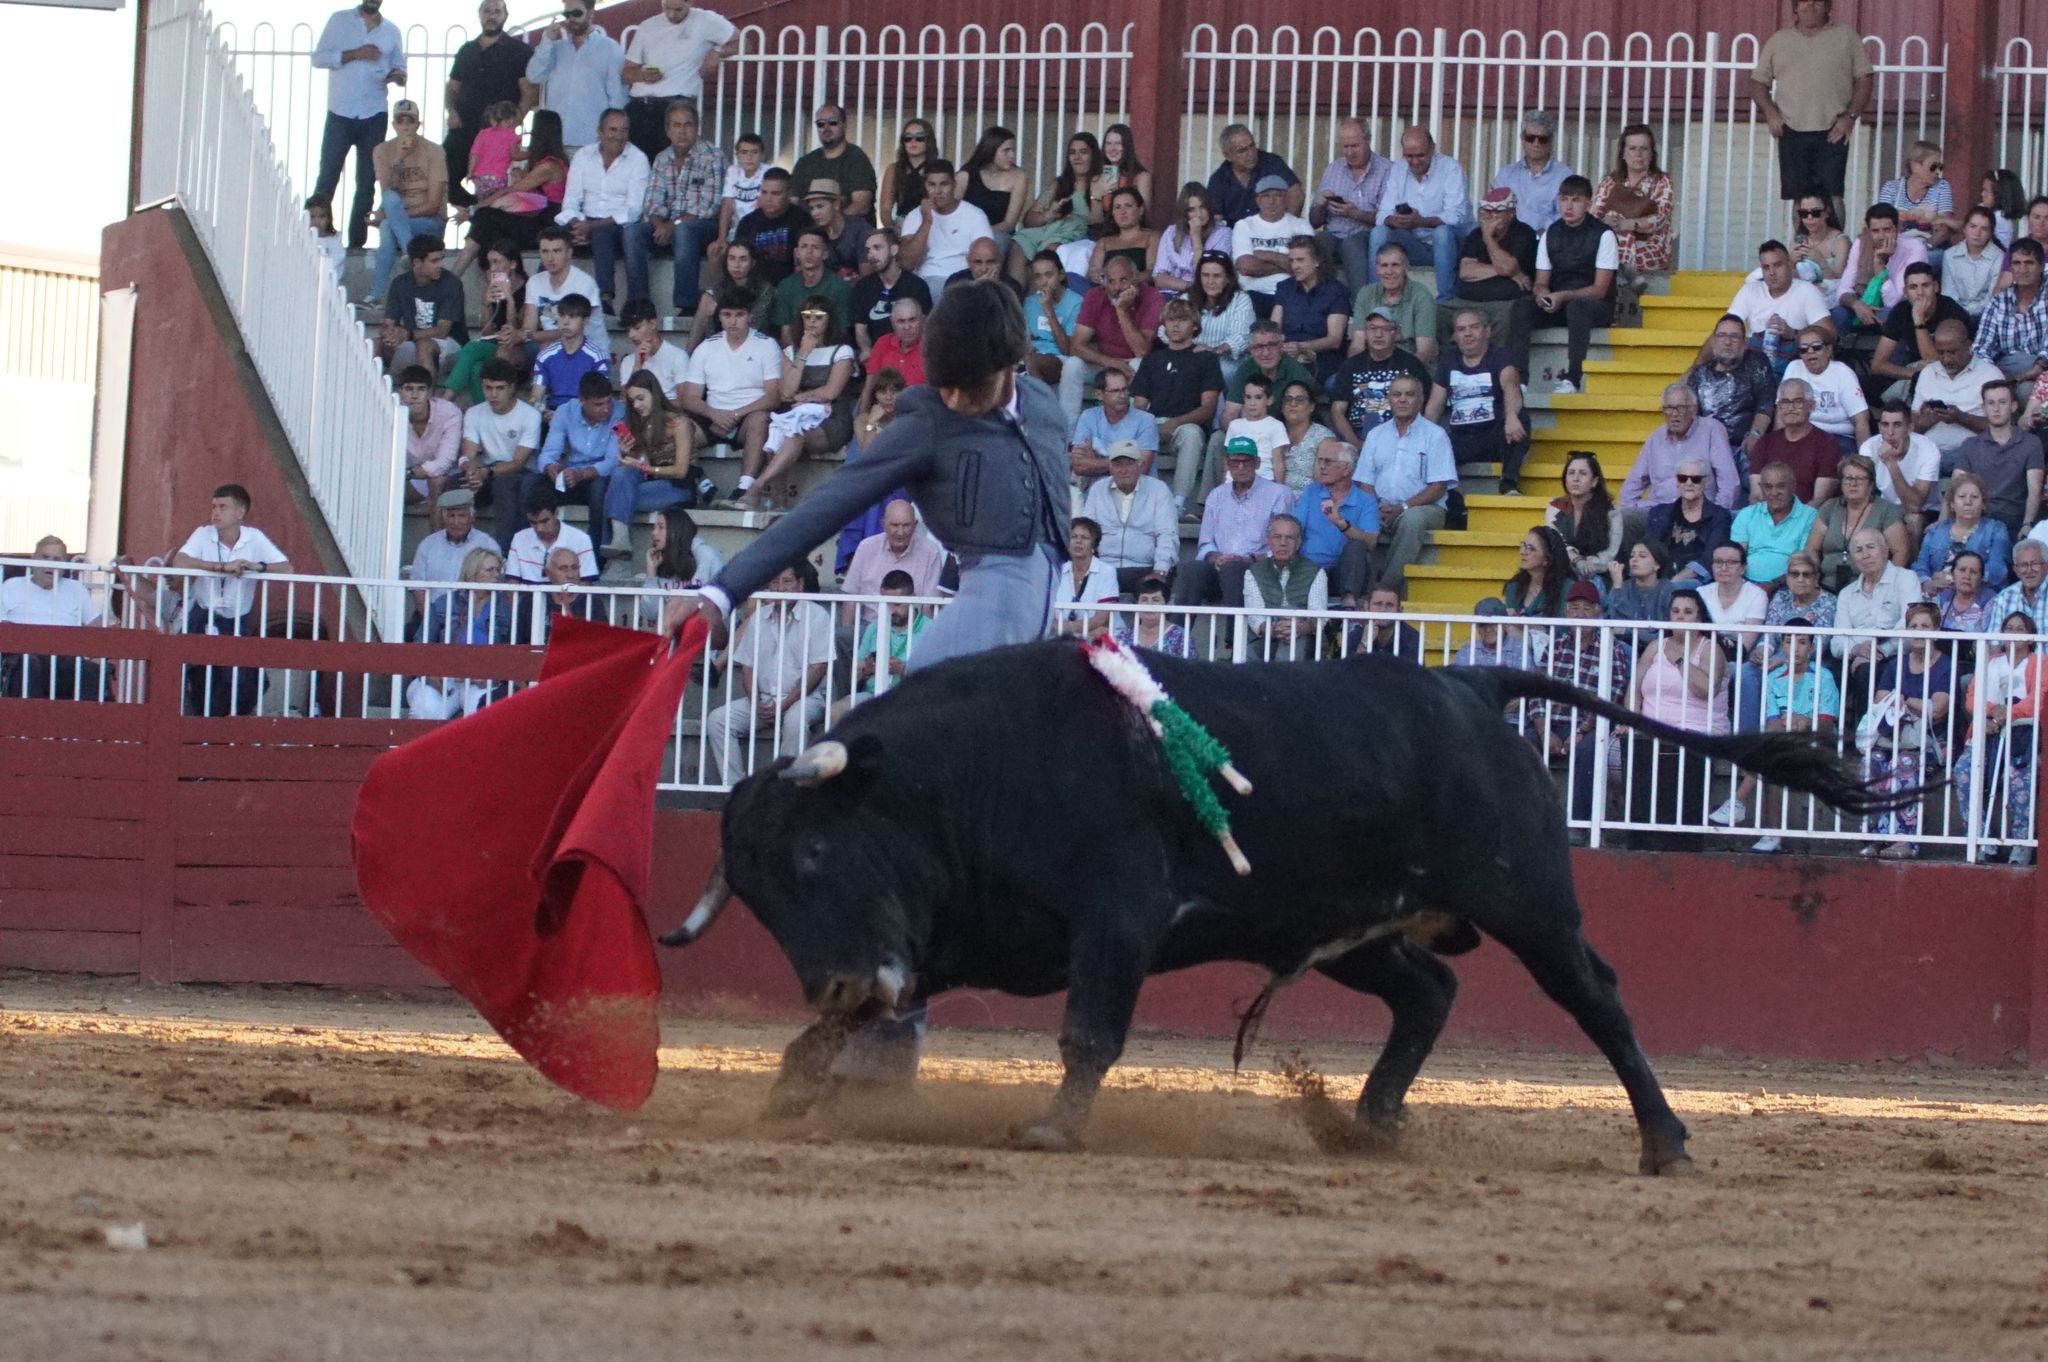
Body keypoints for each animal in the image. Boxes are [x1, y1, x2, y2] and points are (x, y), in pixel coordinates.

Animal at [663, 643, 1908, 1171]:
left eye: (815, 853)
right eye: (760, 901)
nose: (830, 973)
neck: (973, 773)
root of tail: (1466, 684)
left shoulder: (1115, 920)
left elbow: (1087, 1031)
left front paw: (1052, 1127)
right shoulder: (949, 937)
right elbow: (853, 1024)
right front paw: (788, 1091)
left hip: (1528, 903)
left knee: (1594, 1000)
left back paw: (1662, 1140)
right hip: (1346, 928)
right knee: (1428, 988)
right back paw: (1363, 1121)